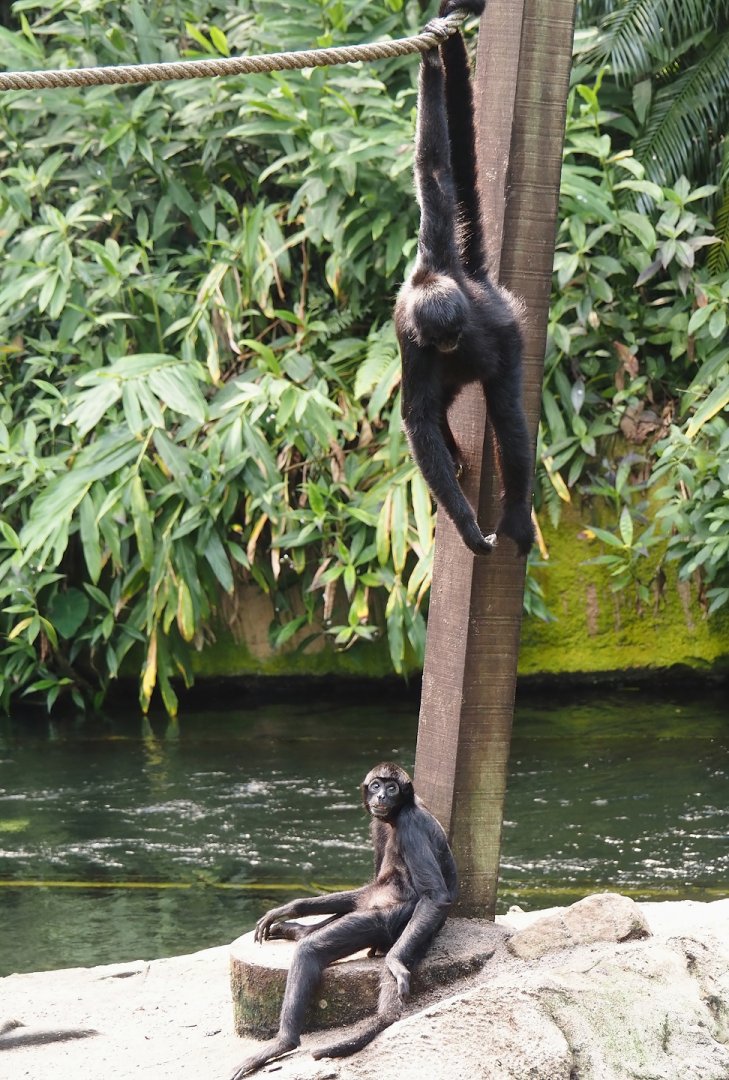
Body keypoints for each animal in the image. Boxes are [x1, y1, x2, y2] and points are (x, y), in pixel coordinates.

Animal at [228, 762, 457, 1077]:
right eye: (376, 786)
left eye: (392, 788)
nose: (382, 797)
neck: (397, 816)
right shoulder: (377, 825)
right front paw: (291, 909)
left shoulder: (409, 824)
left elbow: (434, 896)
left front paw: (395, 963)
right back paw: (297, 930)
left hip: (382, 921)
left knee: (311, 950)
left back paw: (283, 1043)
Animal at [395, 0, 535, 557]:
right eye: (443, 335)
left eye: (456, 330)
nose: (453, 343)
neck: (430, 277)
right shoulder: (411, 337)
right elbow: (417, 416)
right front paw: (467, 526)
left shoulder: (436, 245)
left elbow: (434, 169)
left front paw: (432, 63)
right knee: (439, 404)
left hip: (510, 336)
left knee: (509, 420)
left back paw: (517, 515)